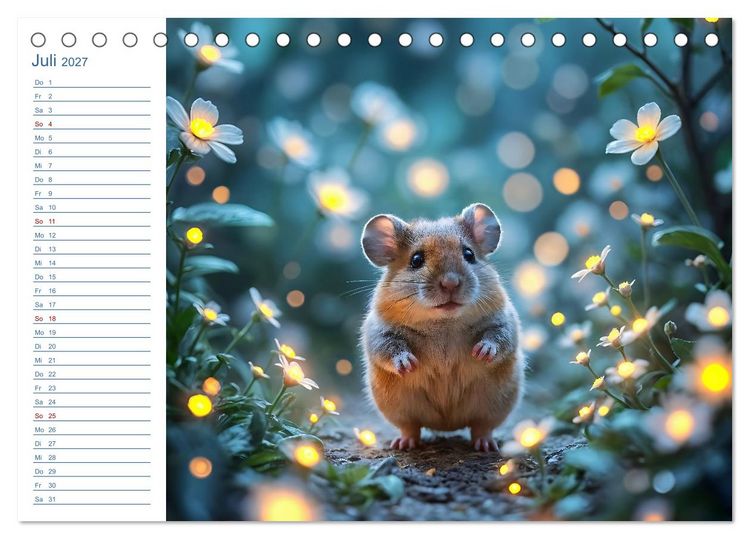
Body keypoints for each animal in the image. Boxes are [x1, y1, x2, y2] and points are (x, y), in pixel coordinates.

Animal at [359, 203, 524, 452]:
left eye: (469, 254)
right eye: (416, 260)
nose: (451, 283)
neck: (444, 322)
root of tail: (447, 425)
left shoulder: (504, 321)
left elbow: (497, 338)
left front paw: (482, 352)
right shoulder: (380, 332)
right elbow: (390, 349)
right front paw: (408, 364)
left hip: (493, 405)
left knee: (481, 427)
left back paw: (486, 444)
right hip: (399, 409)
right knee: (411, 427)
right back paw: (403, 443)